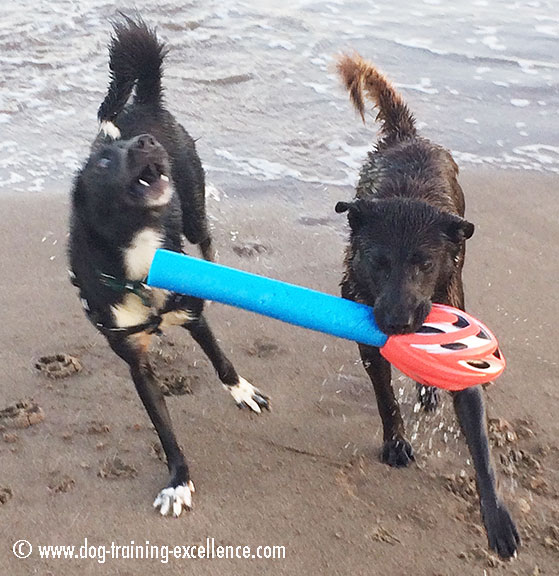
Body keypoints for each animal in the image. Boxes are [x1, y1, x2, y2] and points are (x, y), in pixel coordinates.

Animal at [69, 15, 270, 516]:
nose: (145, 142)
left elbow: (221, 360)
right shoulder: (135, 360)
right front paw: (178, 481)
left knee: (206, 239)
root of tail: (144, 102)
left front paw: (242, 391)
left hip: (195, 207)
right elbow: (163, 427)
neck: (140, 255)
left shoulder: (192, 314)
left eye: (133, 149)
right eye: (104, 161)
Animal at [332, 54, 520, 560]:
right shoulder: (368, 337)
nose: (397, 321)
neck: (409, 201)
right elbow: (384, 399)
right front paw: (396, 444)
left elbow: (481, 447)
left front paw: (497, 519)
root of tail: (406, 135)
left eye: (425, 263)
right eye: (378, 262)